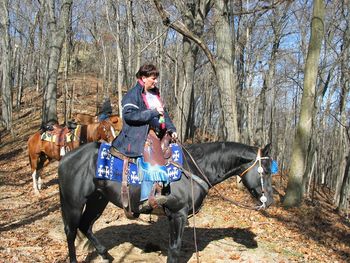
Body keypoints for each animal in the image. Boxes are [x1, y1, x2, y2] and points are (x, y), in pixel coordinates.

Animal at [58, 142, 274, 263]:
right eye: (265, 170)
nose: (270, 201)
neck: (192, 167)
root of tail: (66, 158)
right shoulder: (178, 215)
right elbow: (174, 249)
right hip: (73, 203)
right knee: (71, 232)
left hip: (98, 200)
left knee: (86, 226)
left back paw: (105, 254)